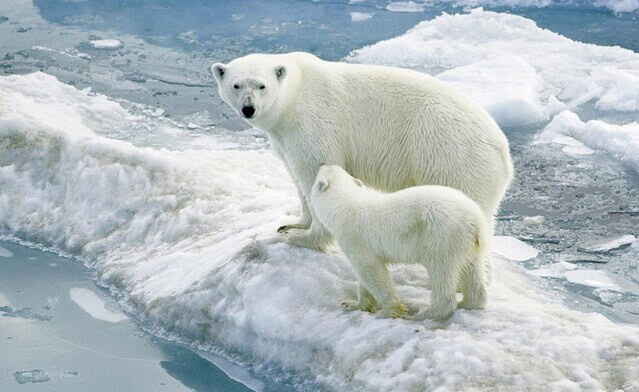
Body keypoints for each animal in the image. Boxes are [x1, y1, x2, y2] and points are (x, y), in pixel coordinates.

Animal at [212, 52, 512, 260]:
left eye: (261, 86)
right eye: (236, 85)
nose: (248, 109)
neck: (294, 95)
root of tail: (504, 154)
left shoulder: (313, 124)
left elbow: (315, 170)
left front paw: (304, 238)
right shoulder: (284, 137)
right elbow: (296, 176)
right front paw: (292, 224)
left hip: (450, 157)